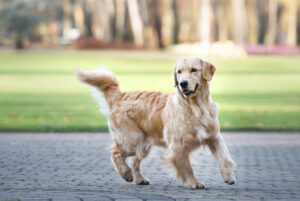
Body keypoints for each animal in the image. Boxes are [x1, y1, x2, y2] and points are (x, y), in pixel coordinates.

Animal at [77, 56, 237, 188]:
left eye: (193, 70)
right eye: (179, 72)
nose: (182, 83)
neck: (196, 107)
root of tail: (120, 96)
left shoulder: (214, 137)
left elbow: (224, 157)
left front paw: (228, 176)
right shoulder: (178, 146)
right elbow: (187, 167)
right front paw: (194, 182)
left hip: (144, 144)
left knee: (133, 161)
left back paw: (140, 179)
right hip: (131, 140)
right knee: (116, 153)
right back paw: (126, 174)